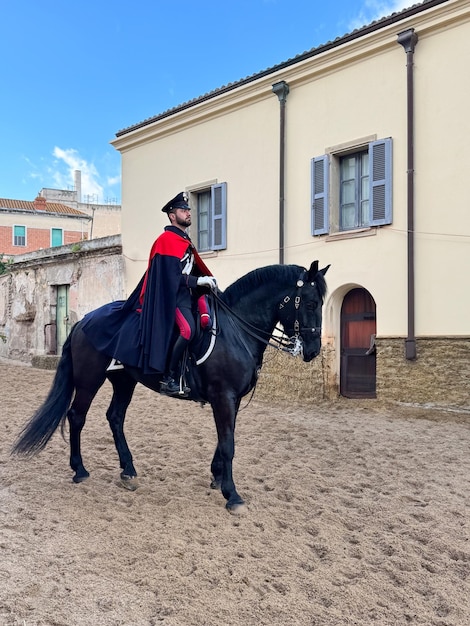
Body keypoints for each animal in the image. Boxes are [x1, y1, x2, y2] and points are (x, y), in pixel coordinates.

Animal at [12, 260, 328, 510]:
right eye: (311, 303)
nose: (313, 351)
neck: (236, 330)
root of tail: (84, 321)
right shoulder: (223, 396)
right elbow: (228, 443)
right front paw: (232, 495)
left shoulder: (232, 399)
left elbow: (224, 439)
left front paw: (217, 476)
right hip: (90, 380)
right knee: (77, 417)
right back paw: (80, 469)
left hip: (124, 381)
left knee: (115, 417)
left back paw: (128, 470)